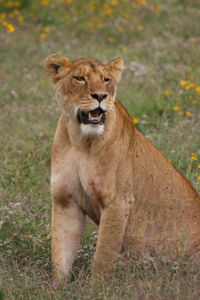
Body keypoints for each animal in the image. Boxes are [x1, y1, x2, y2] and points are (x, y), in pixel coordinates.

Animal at [45, 53, 200, 282]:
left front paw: (97, 287)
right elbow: (61, 253)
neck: (82, 141)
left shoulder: (117, 202)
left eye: (106, 80)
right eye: (80, 78)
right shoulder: (65, 200)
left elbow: (103, 256)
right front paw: (57, 286)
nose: (100, 96)